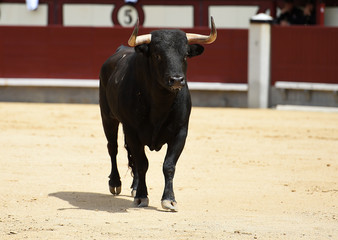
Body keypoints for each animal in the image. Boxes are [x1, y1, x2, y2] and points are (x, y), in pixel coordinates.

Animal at [99, 17, 218, 212]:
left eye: (185, 55)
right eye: (157, 55)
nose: (176, 80)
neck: (160, 104)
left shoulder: (180, 132)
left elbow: (168, 165)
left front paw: (169, 199)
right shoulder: (132, 131)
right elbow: (142, 163)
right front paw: (141, 196)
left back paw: (134, 187)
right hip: (108, 117)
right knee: (113, 148)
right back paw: (115, 183)